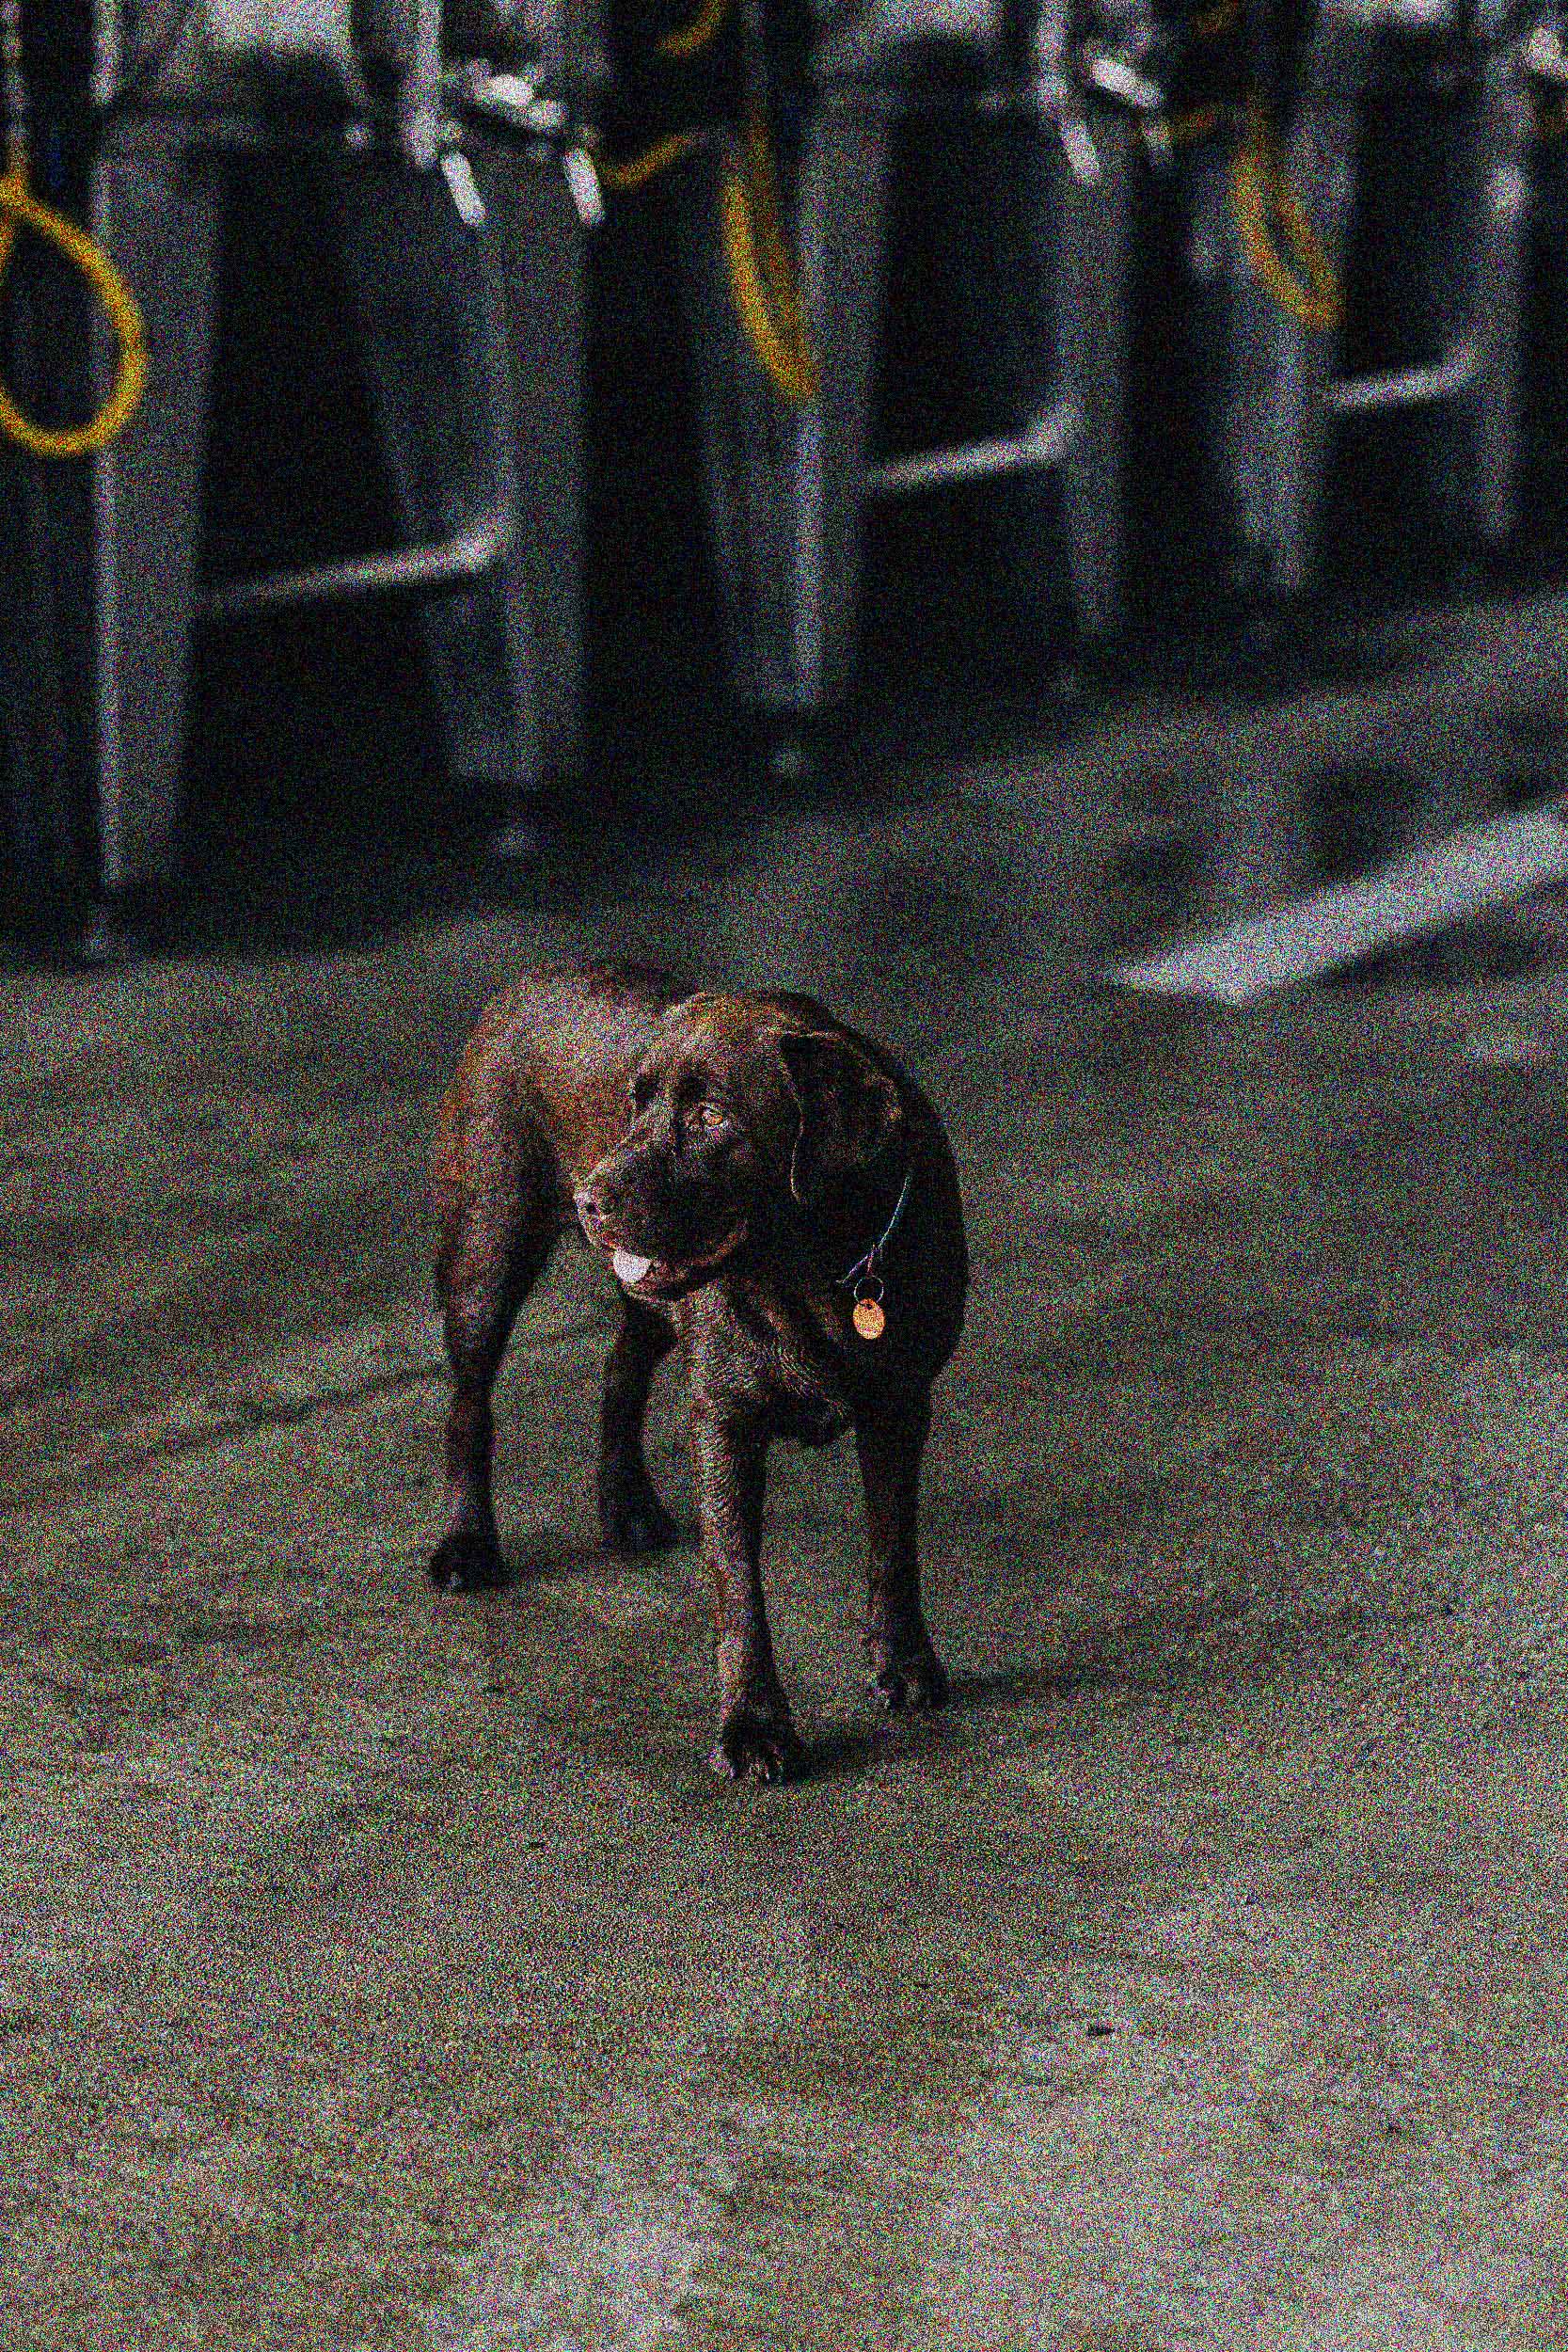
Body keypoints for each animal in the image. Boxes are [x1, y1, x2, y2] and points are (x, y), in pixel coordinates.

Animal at [432, 964, 968, 1769]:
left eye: (711, 1116)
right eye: (635, 1103)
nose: (588, 1199)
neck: (811, 1273)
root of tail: (525, 979)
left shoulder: (900, 1407)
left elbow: (892, 1547)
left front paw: (902, 1664)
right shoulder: (724, 1423)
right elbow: (738, 1587)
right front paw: (753, 1725)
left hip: (646, 1305)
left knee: (619, 1373)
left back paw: (626, 1504)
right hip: (486, 1252)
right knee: (470, 1405)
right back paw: (467, 1544)